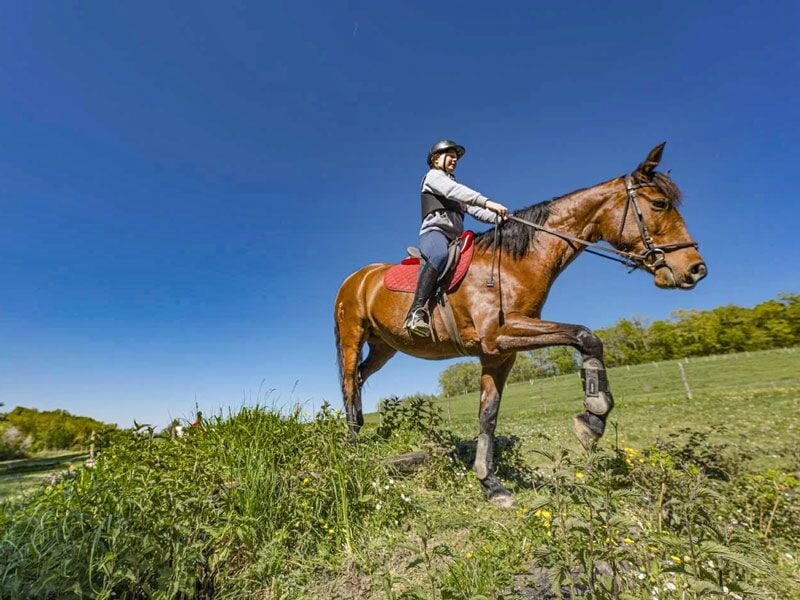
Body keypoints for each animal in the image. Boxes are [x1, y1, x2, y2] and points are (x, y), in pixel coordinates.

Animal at [334, 143, 707, 507]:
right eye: (659, 203)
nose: (696, 269)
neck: (513, 263)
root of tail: (356, 278)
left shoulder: (499, 354)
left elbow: (488, 416)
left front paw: (491, 484)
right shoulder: (500, 335)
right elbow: (586, 336)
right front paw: (593, 418)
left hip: (384, 347)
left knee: (361, 378)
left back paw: (359, 430)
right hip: (353, 337)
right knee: (350, 383)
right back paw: (351, 447)